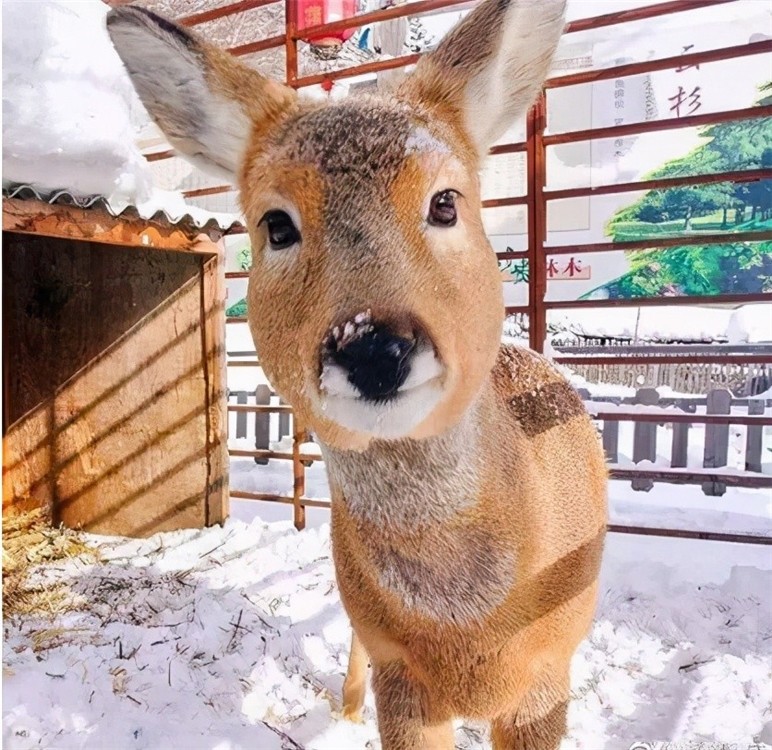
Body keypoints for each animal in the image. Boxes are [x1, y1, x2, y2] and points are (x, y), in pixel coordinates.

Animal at [110, 2, 608, 748]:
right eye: (276, 224)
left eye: (445, 201)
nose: (374, 348)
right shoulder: (398, 674)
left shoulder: (547, 676)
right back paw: (343, 710)